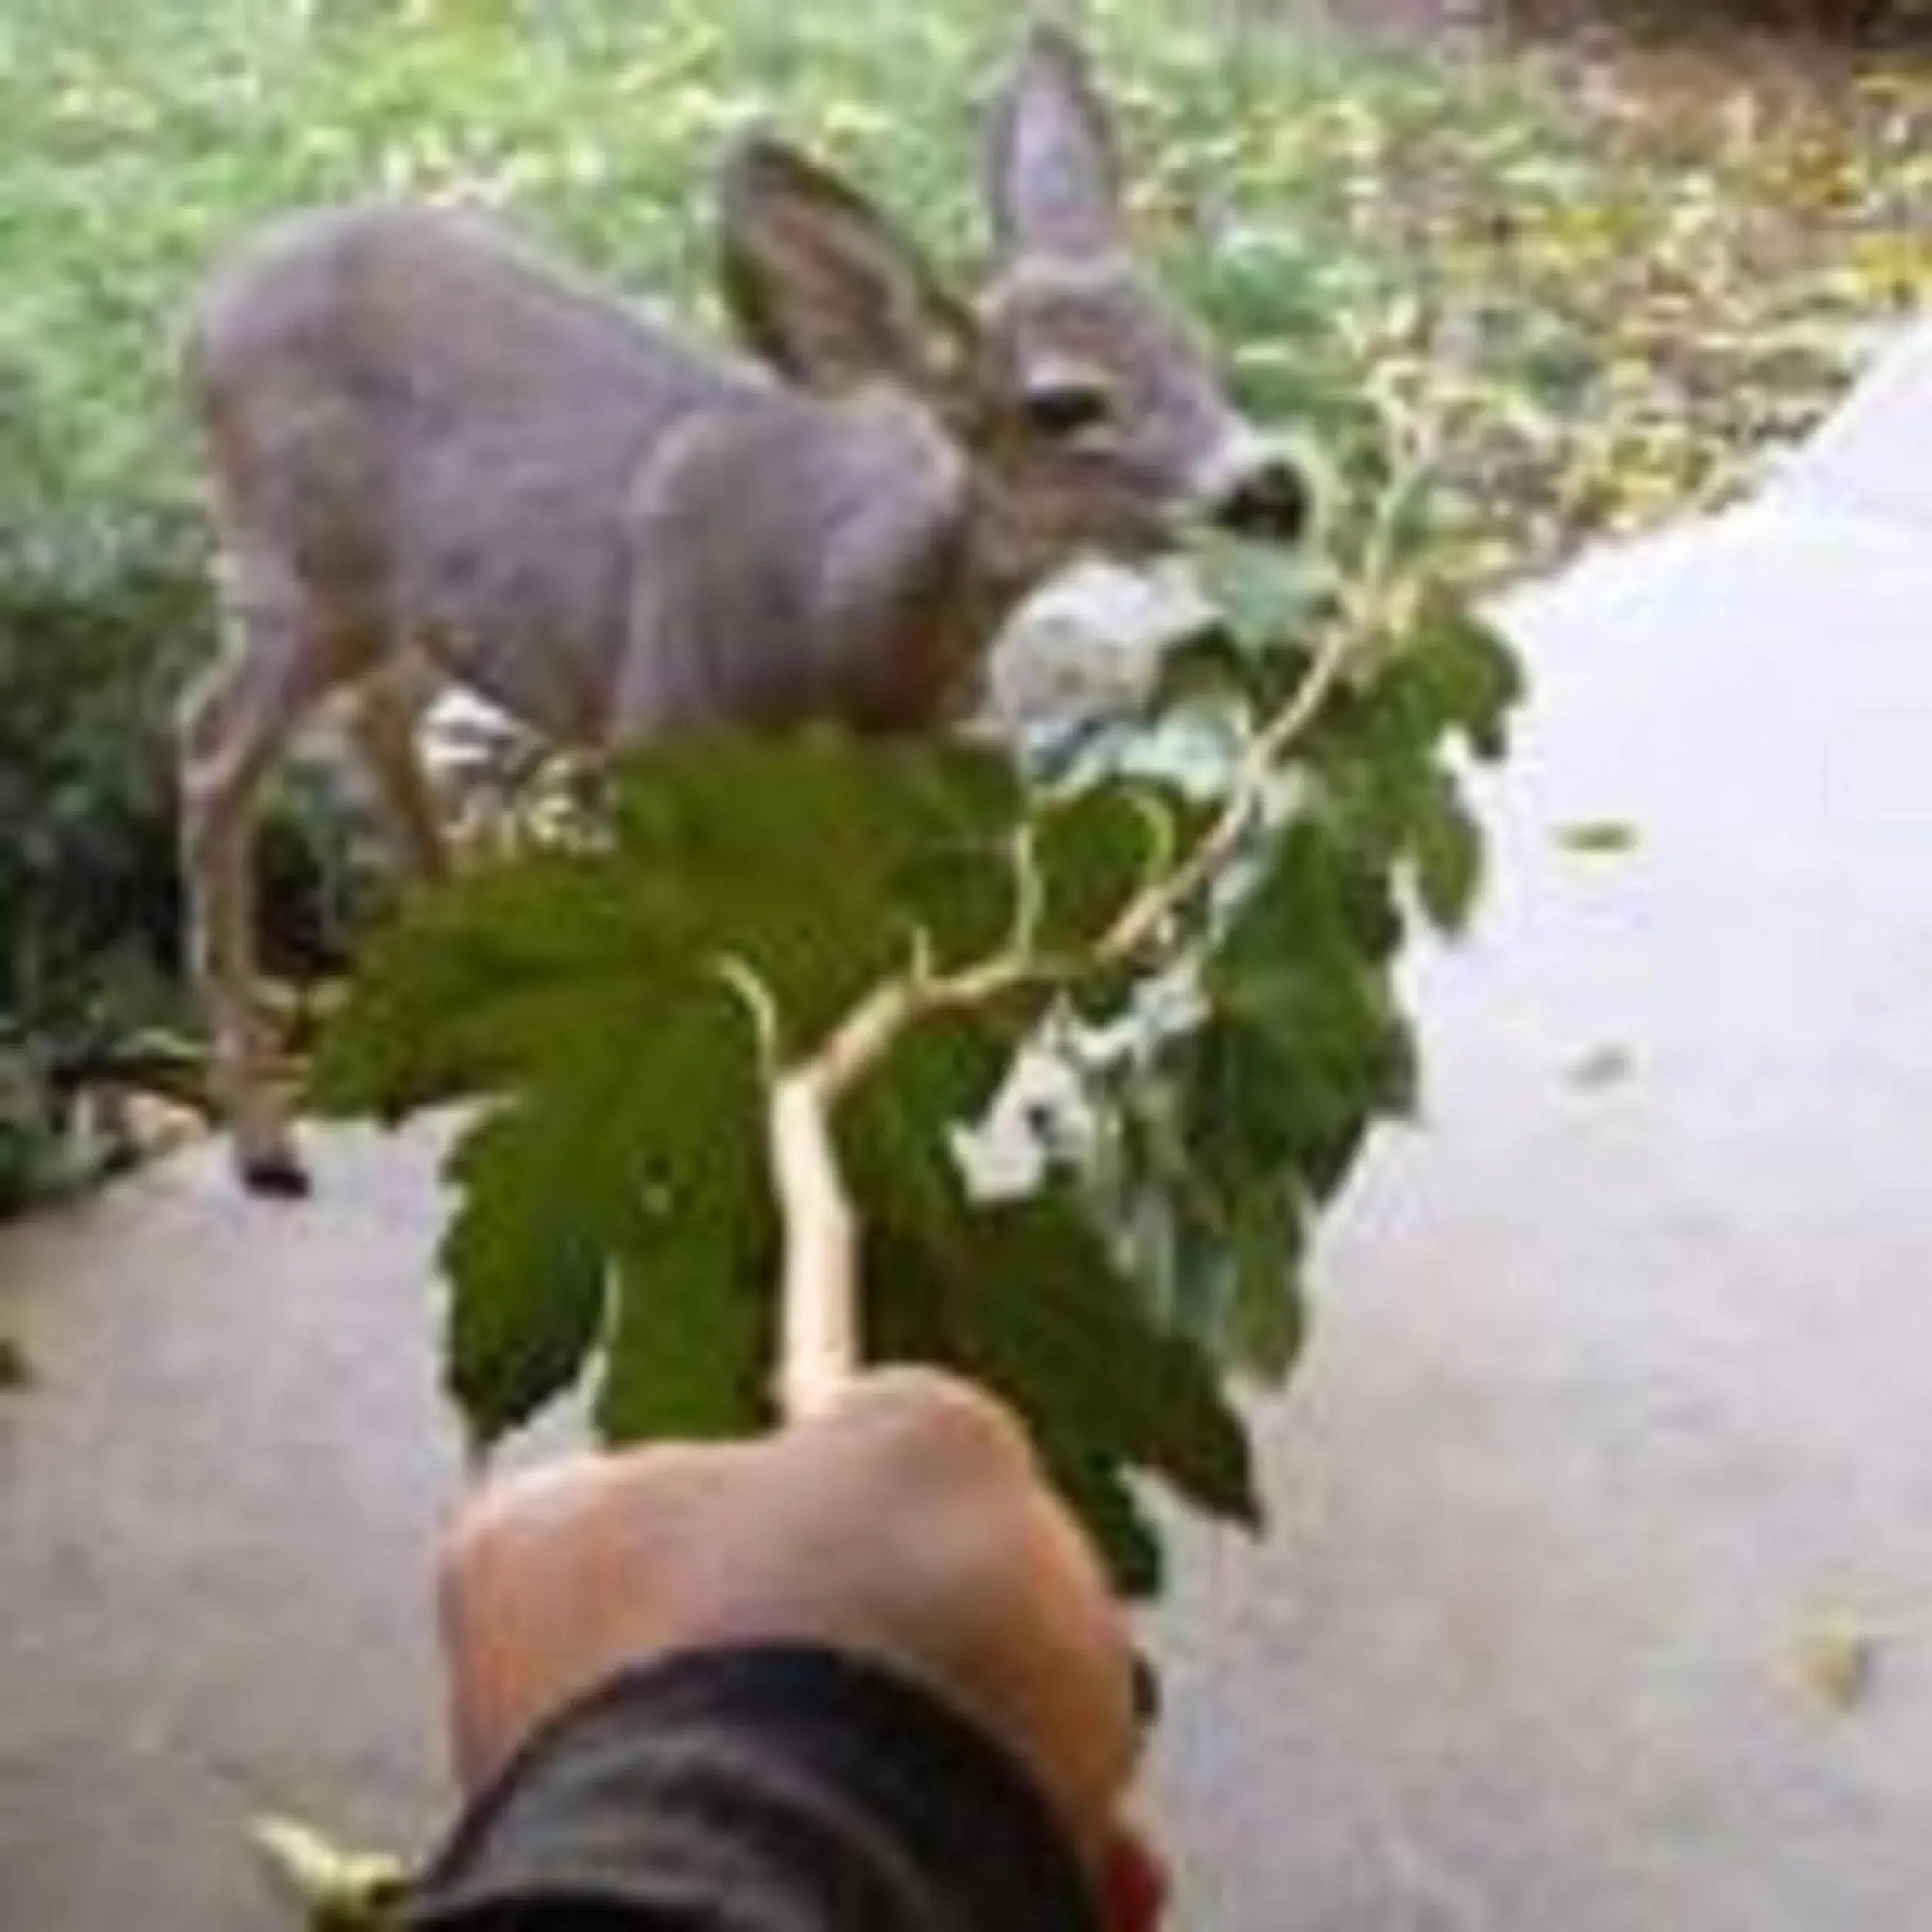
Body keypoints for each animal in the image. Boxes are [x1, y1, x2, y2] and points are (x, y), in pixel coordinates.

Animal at [182, 26, 1306, 1190]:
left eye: (1202, 354)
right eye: (1063, 404)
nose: (1270, 487)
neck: (838, 633)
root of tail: (207, 308)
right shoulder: (652, 739)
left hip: (428, 609)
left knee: (373, 716)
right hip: (304, 565)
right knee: (212, 746)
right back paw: (264, 1141)